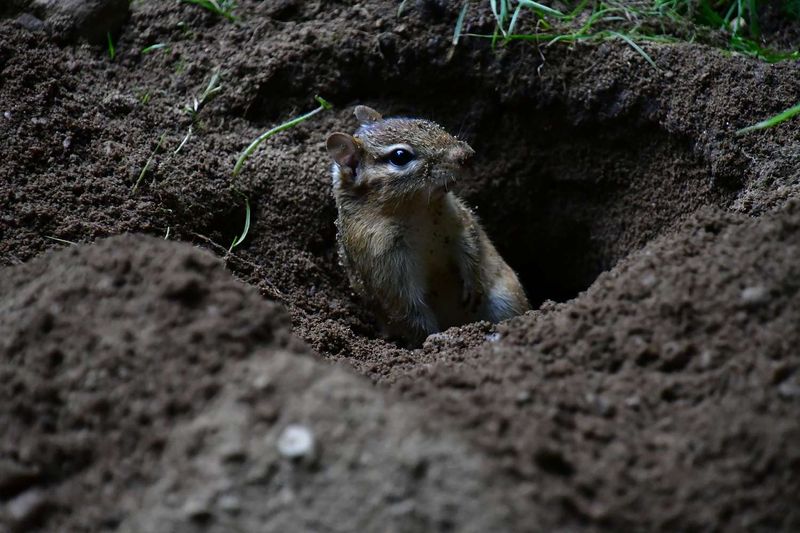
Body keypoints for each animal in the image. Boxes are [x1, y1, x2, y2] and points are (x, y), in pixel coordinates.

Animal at [326, 105, 529, 345]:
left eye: (425, 121)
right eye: (400, 156)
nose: (467, 155)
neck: (417, 212)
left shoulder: (458, 222)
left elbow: (470, 248)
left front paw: (473, 285)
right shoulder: (386, 269)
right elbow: (410, 313)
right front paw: (436, 338)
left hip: (505, 298)